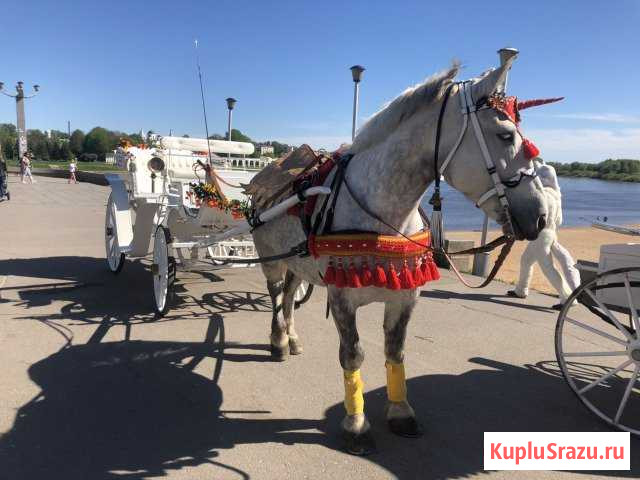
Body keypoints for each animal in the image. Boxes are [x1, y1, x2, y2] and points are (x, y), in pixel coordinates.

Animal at [250, 55, 552, 454]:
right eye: (505, 136)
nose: (541, 215)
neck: (381, 212)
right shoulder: (342, 298)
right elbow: (353, 354)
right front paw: (356, 424)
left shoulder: (405, 296)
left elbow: (395, 352)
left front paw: (400, 412)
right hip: (272, 259)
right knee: (274, 298)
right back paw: (278, 341)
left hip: (297, 264)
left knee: (287, 298)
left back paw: (292, 338)